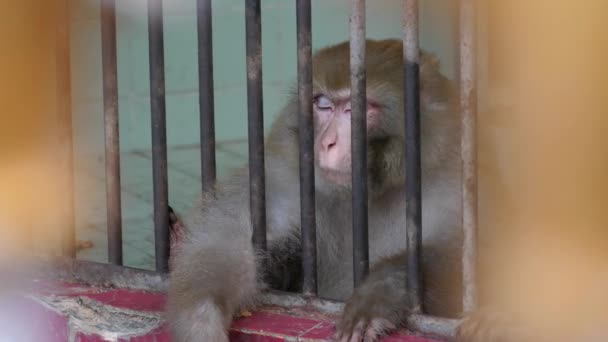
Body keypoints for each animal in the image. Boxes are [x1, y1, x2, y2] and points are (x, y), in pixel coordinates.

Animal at [166, 38, 460, 340]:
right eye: (323, 105)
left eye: (355, 111)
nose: (327, 143)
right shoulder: (285, 176)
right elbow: (229, 243)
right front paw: (201, 321)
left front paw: (382, 291)